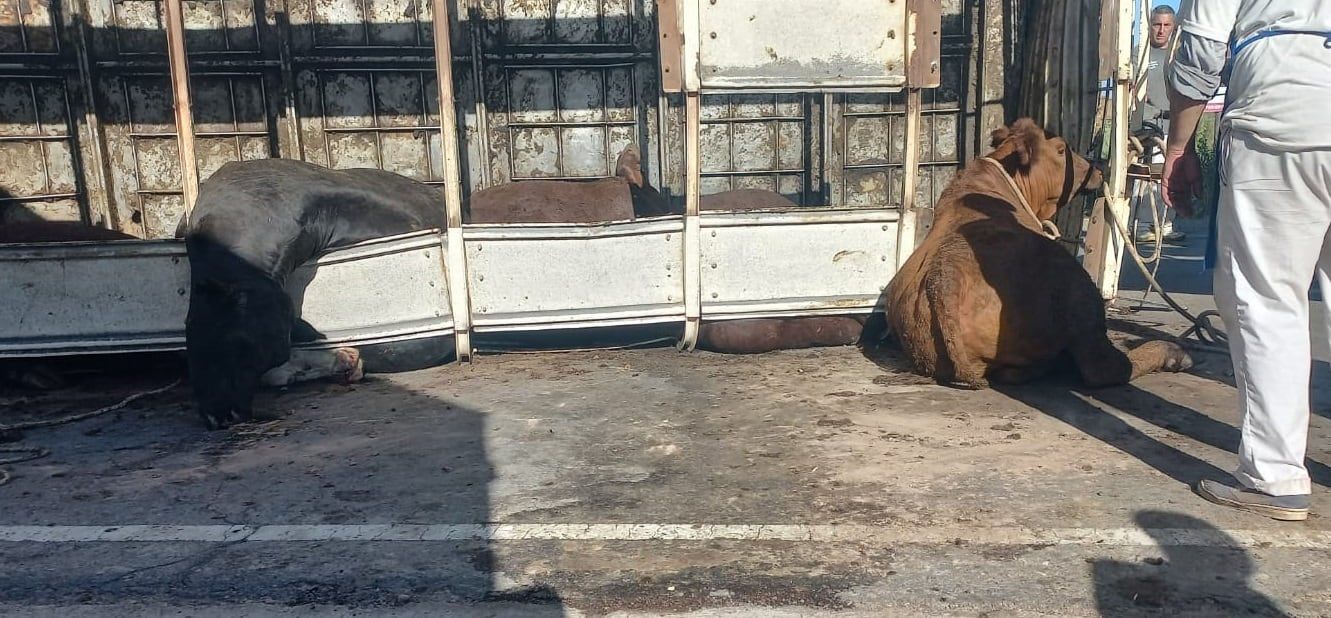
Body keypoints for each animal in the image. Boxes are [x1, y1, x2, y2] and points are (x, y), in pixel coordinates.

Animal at [883, 118, 1192, 388]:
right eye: (1060, 149)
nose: (1095, 168)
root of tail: (944, 277)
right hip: (1080, 297)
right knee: (1103, 368)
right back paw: (1173, 353)